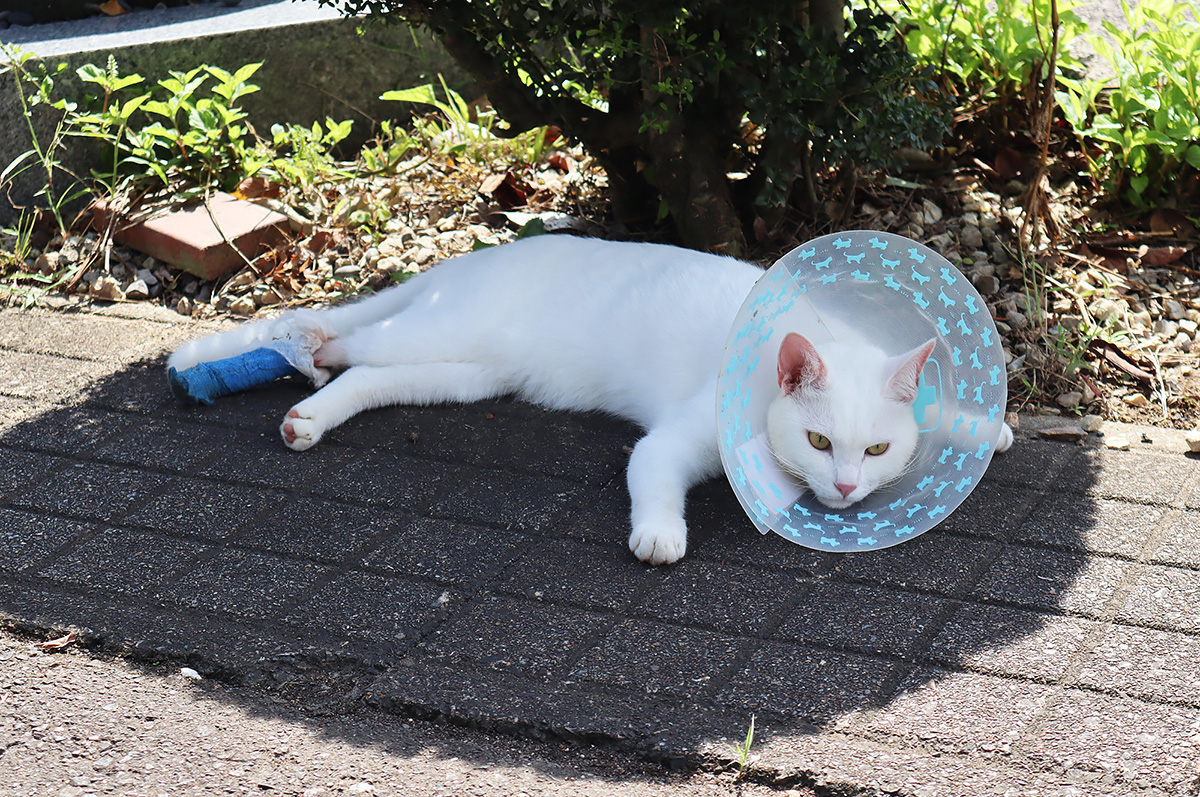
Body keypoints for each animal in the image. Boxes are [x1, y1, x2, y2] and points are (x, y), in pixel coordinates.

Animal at [171, 234, 1012, 564]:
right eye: (817, 442)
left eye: (876, 448)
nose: (843, 488)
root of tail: (476, 255)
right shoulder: (672, 439)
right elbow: (652, 478)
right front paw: (660, 535)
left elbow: (941, 411)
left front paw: (988, 426)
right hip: (435, 333)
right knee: (349, 342)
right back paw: (307, 359)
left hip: (465, 373)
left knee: (367, 377)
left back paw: (312, 411)